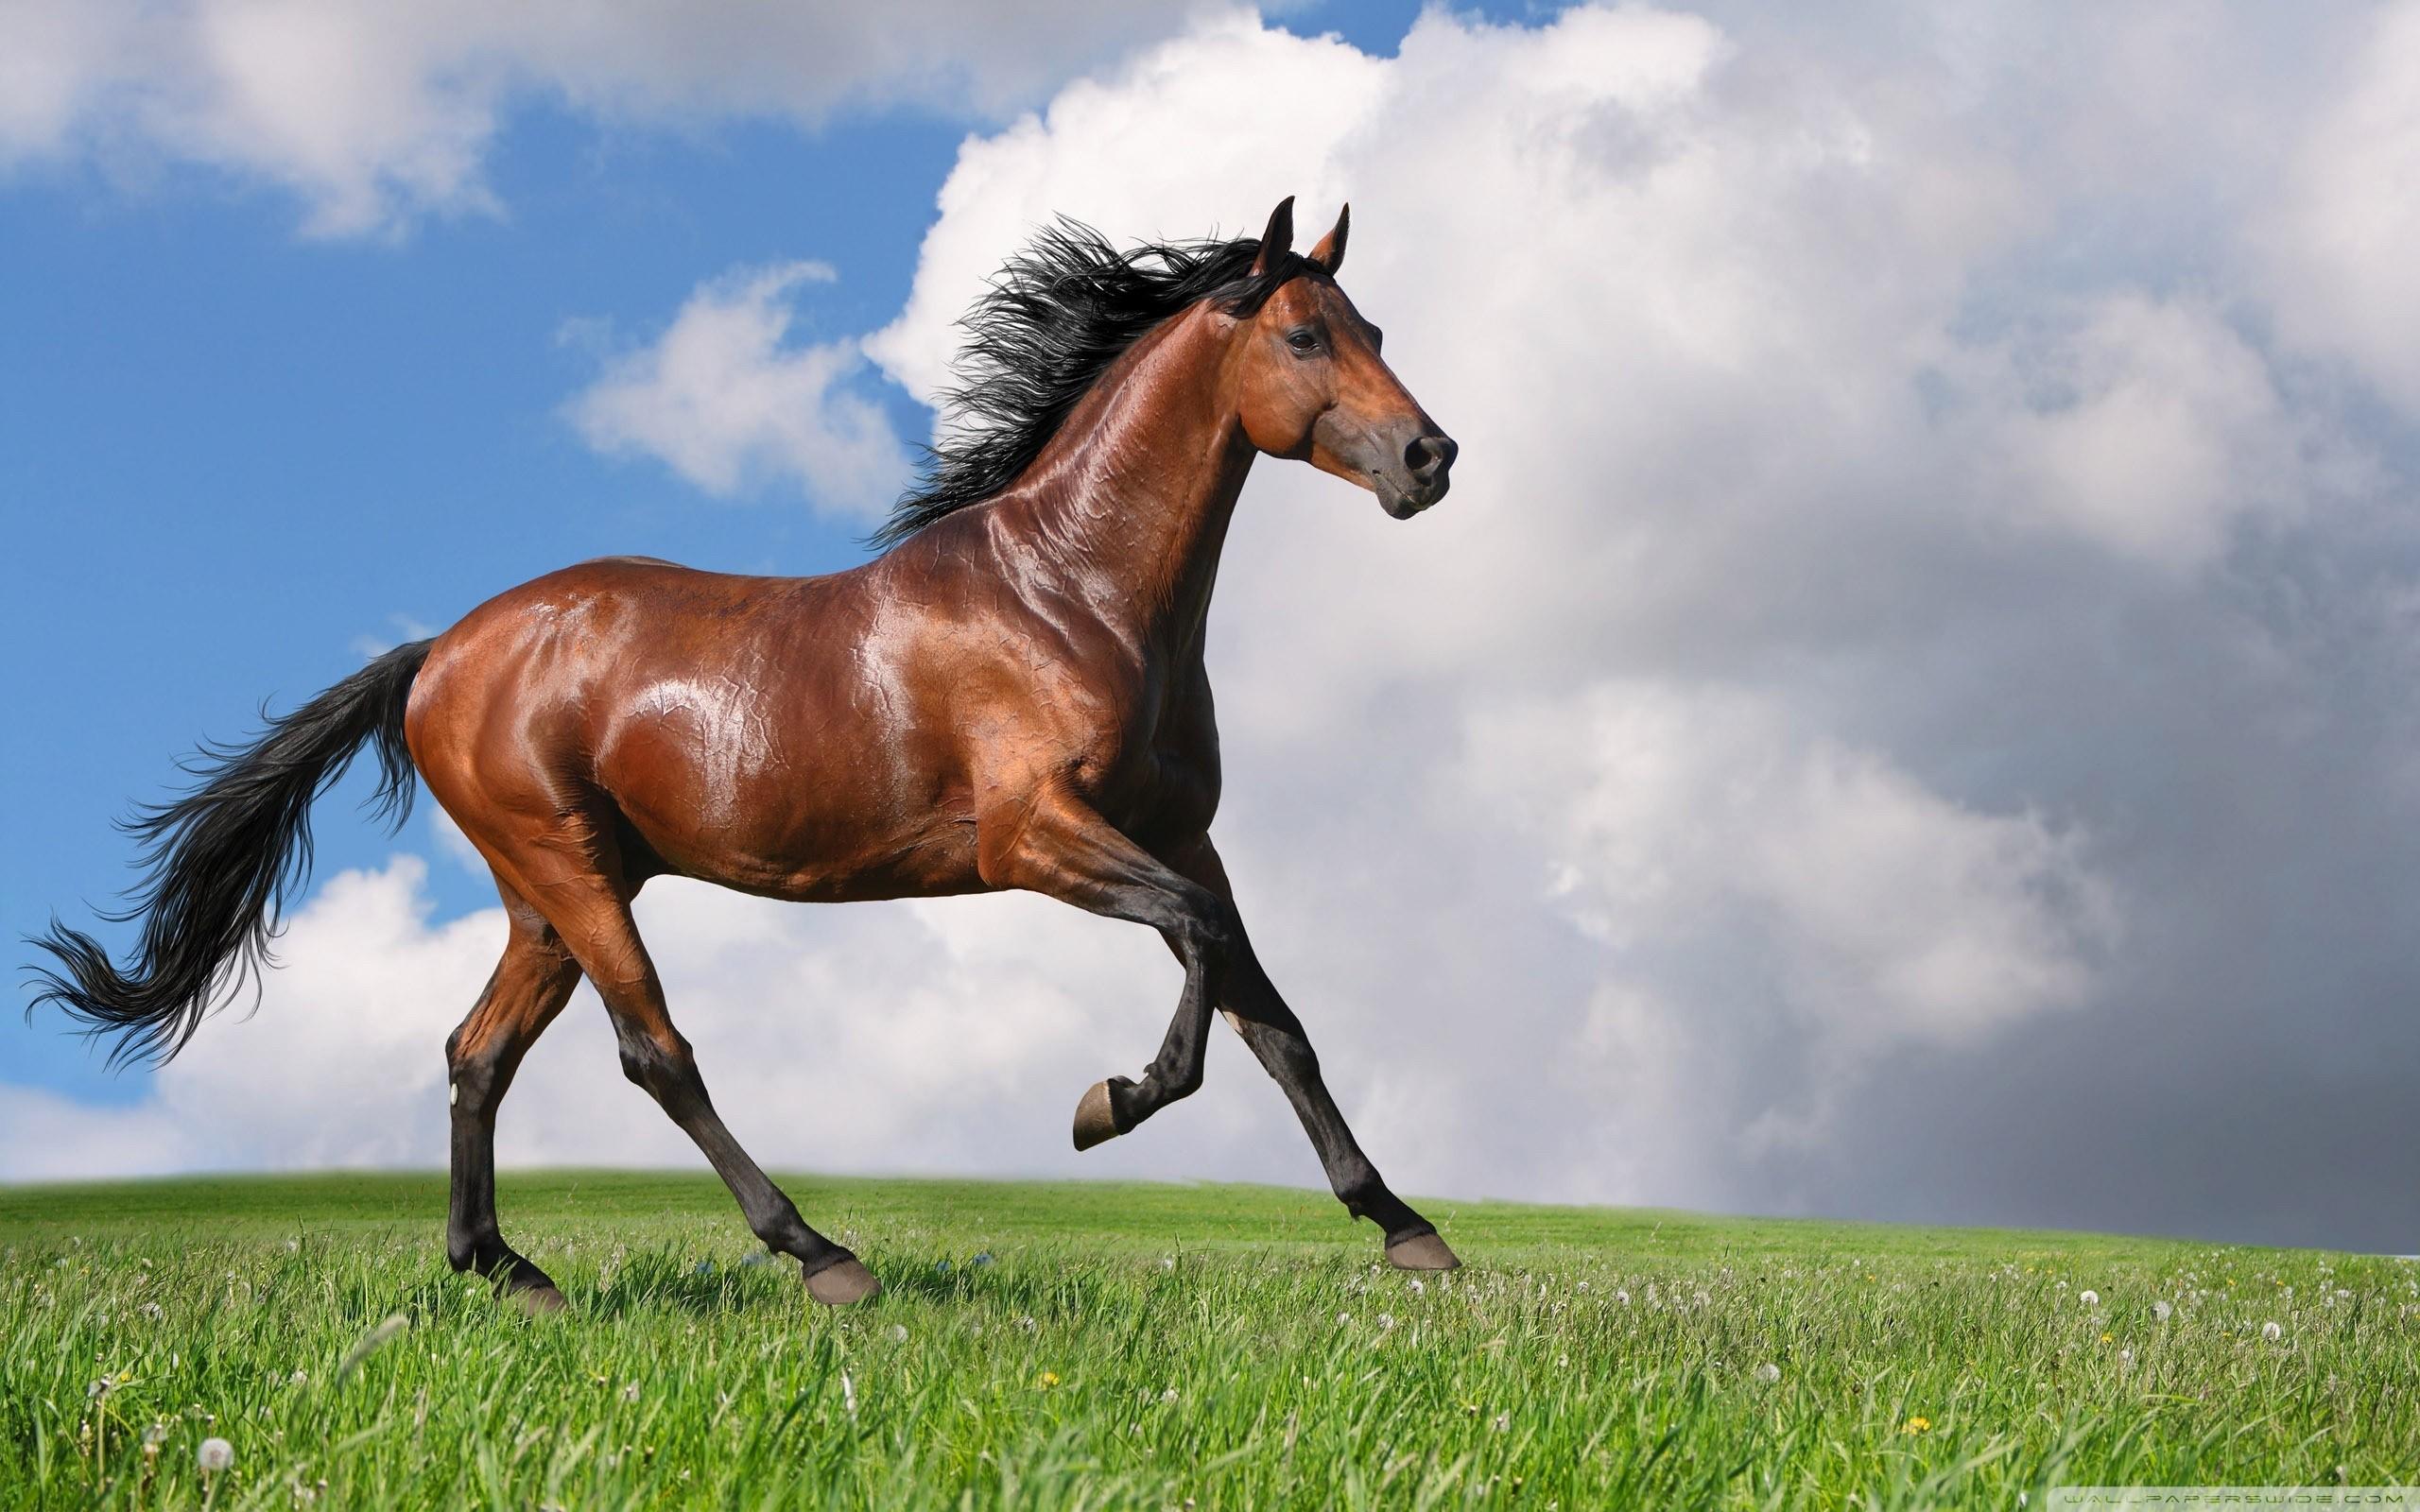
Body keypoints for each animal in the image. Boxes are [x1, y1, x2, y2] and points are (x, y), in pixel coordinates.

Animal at [31, 196, 1463, 1309]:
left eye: (1377, 331)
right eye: (1304, 333)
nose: (1430, 456)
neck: (1074, 593)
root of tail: (440, 652)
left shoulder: (1182, 834)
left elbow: (1272, 1017)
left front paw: (1407, 1229)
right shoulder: (1035, 836)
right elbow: (1203, 961)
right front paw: (1106, 1103)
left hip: (547, 893)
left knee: (477, 1052)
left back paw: (510, 1271)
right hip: (569, 870)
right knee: (653, 1049)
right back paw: (821, 1255)